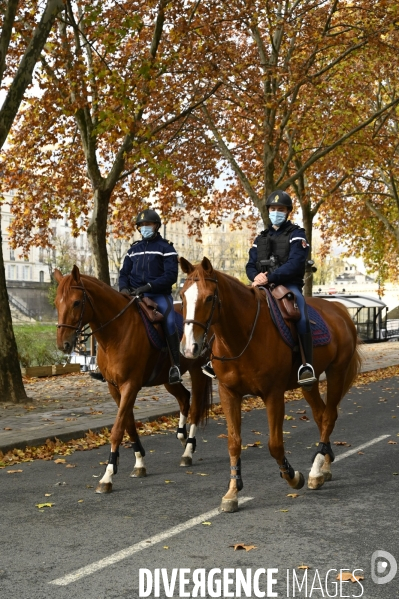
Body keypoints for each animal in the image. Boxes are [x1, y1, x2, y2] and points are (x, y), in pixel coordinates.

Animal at [55, 266, 214, 492]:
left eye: (76, 302)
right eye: (56, 303)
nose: (63, 344)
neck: (116, 332)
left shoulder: (130, 386)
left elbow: (118, 428)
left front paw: (107, 476)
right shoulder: (115, 388)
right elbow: (128, 424)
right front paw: (139, 462)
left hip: (197, 371)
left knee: (196, 407)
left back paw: (188, 450)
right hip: (167, 379)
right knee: (185, 398)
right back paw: (182, 437)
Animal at [180, 255, 362, 512]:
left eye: (209, 297)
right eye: (182, 295)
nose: (189, 348)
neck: (242, 336)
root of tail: (339, 309)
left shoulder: (273, 394)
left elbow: (275, 444)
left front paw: (293, 477)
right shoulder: (229, 393)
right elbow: (234, 443)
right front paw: (232, 492)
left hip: (337, 372)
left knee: (329, 416)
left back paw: (317, 470)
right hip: (309, 383)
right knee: (320, 414)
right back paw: (324, 466)